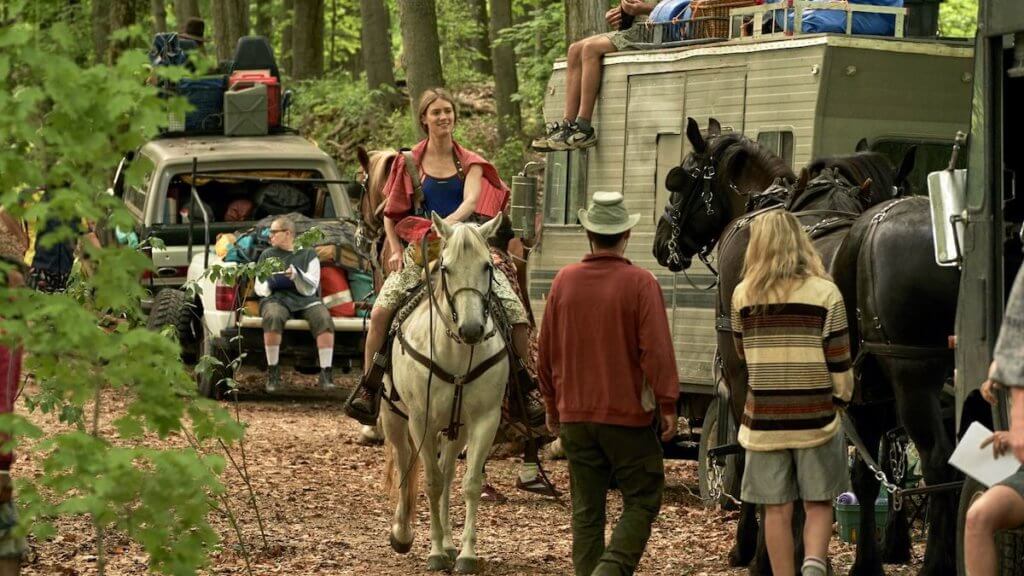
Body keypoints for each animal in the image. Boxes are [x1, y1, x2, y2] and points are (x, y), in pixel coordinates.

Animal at [382, 213, 509, 569]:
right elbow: (432, 481)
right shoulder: (421, 420)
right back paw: (402, 533)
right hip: (393, 417)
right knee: (404, 460)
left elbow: (469, 483)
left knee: (450, 471)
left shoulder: (484, 421)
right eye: (446, 268)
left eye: (487, 266)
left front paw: (465, 553)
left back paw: (451, 544)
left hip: (457, 429)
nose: (471, 329)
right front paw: (436, 552)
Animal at [655, 117, 958, 573]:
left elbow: (753, 456)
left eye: (682, 178)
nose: (660, 243)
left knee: (940, 464)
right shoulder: (860, 395)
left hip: (914, 379)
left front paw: (754, 549)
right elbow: (859, 476)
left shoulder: (745, 374)